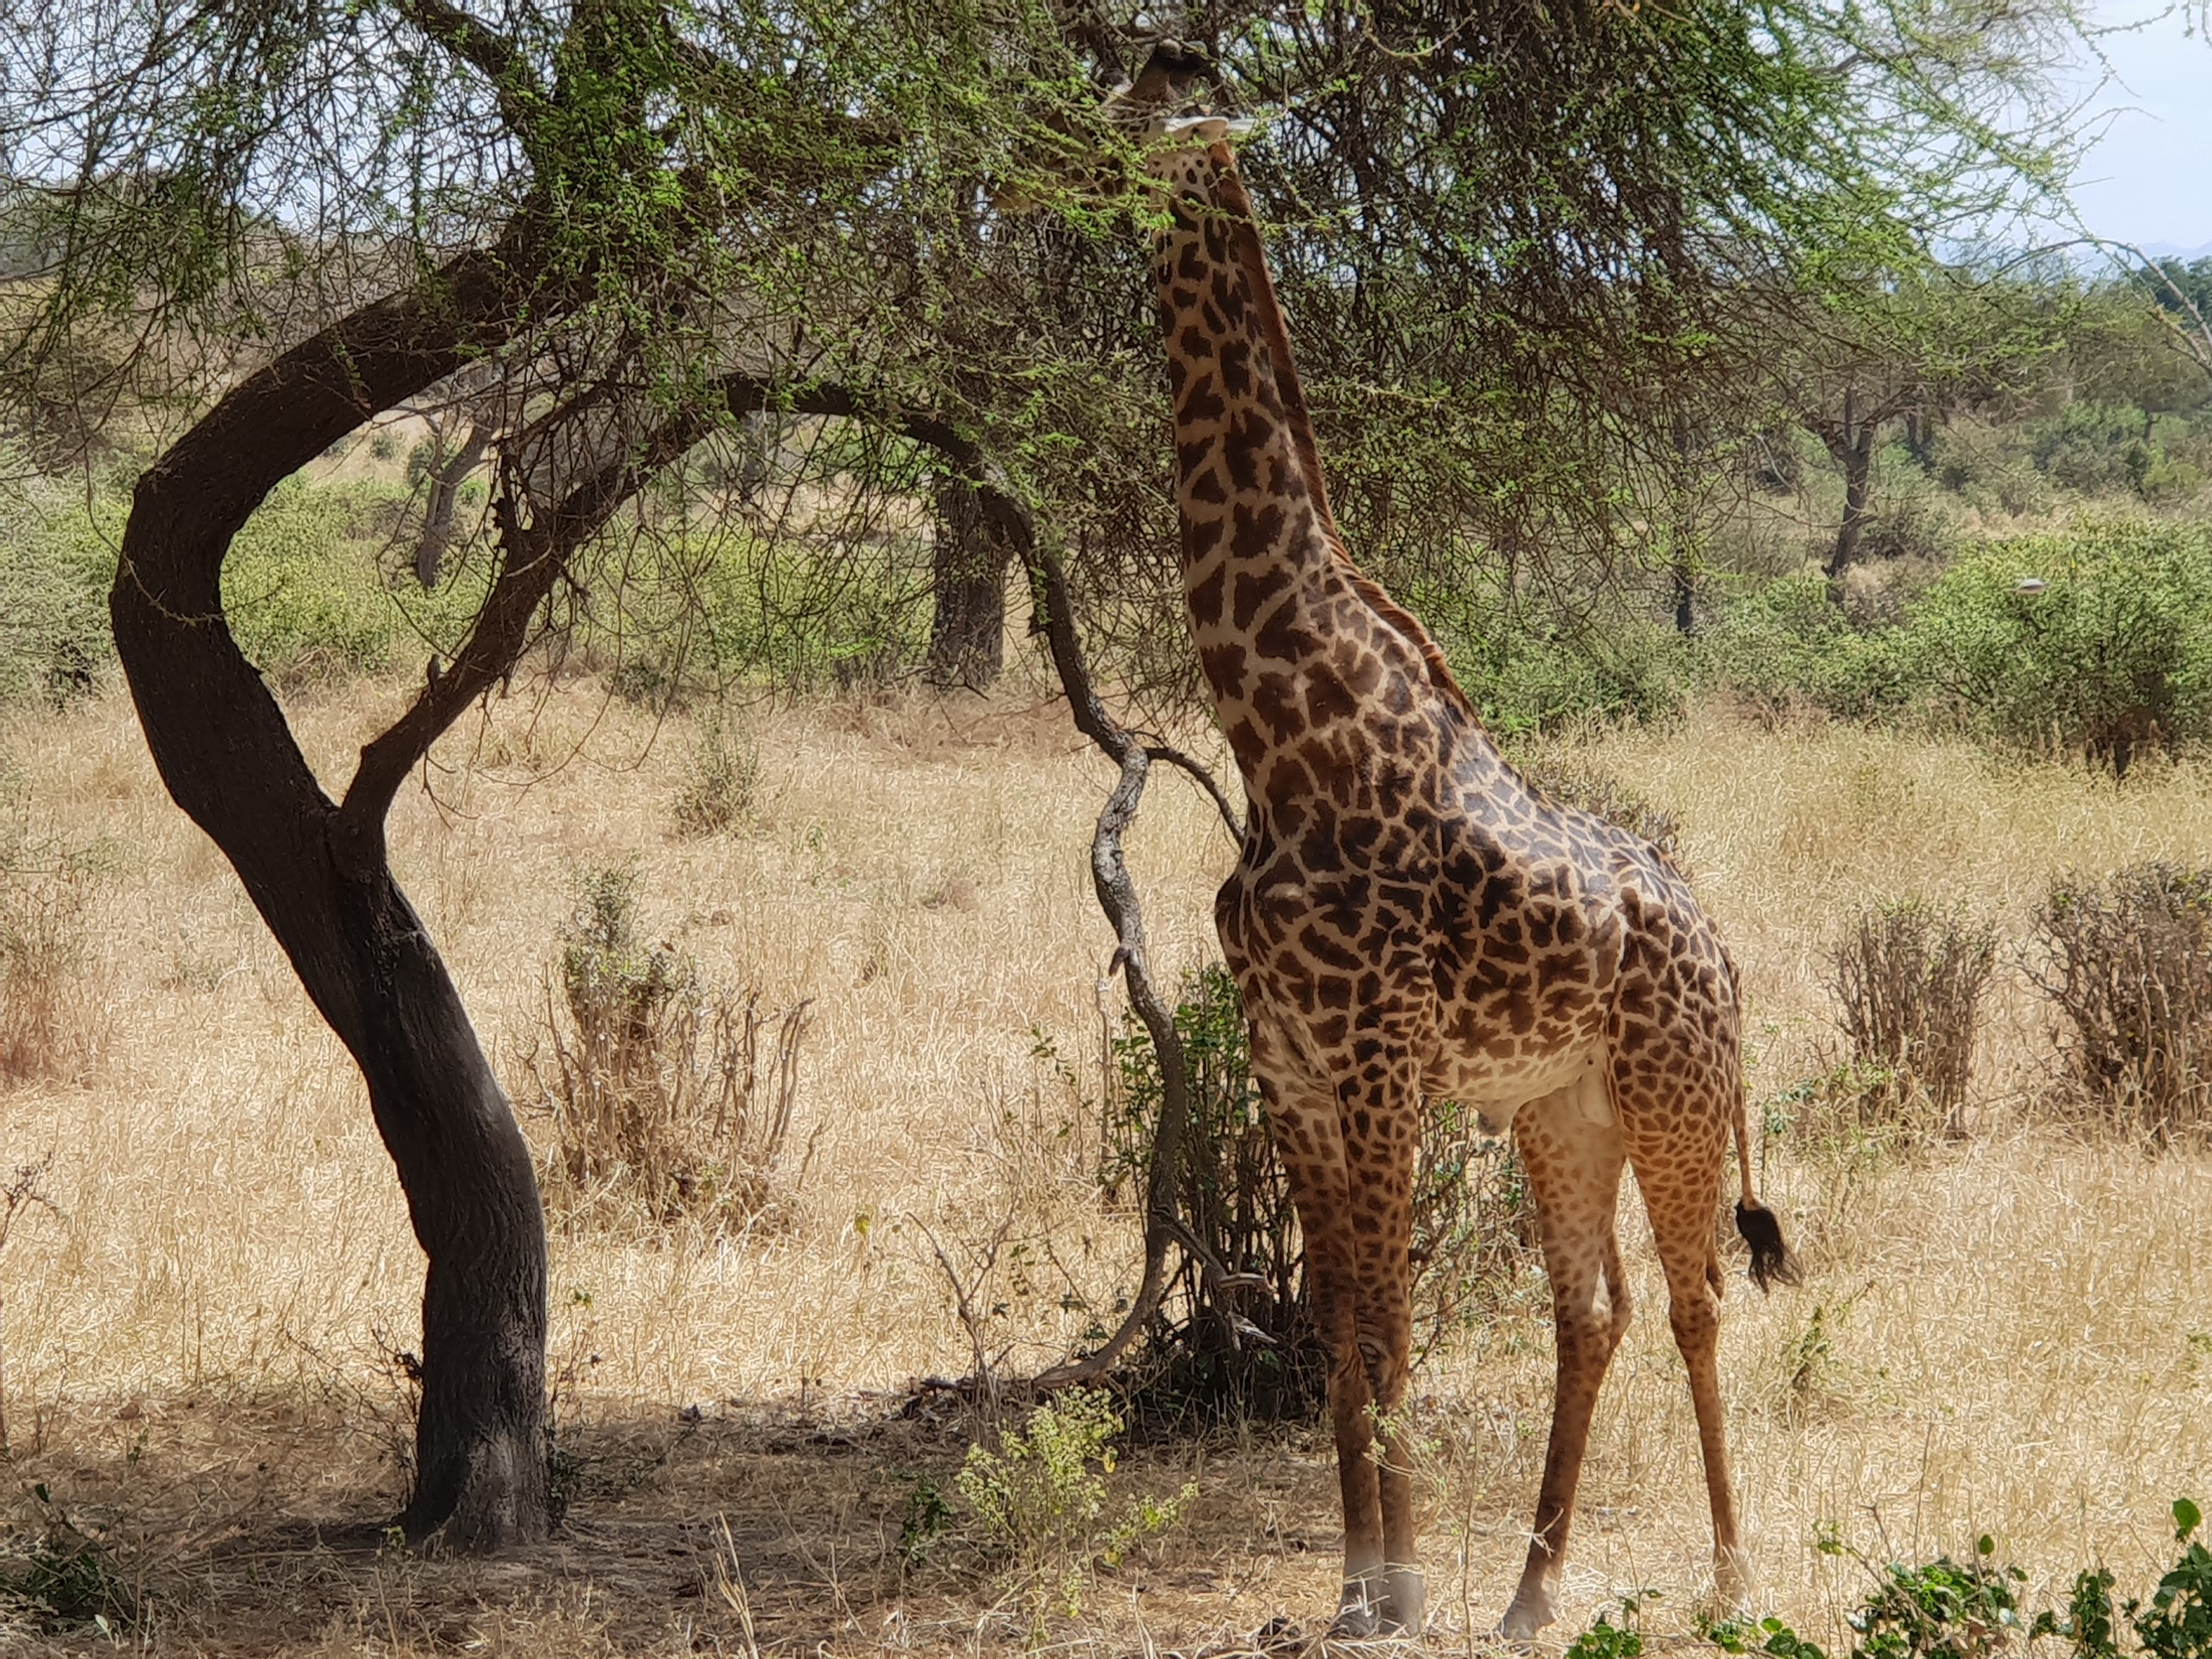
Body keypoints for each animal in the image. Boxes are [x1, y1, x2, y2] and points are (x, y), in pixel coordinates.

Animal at [1110, 49, 1799, 1640]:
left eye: (1166, 99)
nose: (1081, 159)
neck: (1282, 731)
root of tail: (1725, 951)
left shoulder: (1376, 1071)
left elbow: (1392, 1336)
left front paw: (1397, 1590)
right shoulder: (1293, 1067)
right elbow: (1341, 1338)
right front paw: (1355, 1585)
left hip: (1673, 1101)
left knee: (1693, 1301)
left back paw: (1732, 1578)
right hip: (1562, 1109)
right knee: (1591, 1311)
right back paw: (1533, 1596)